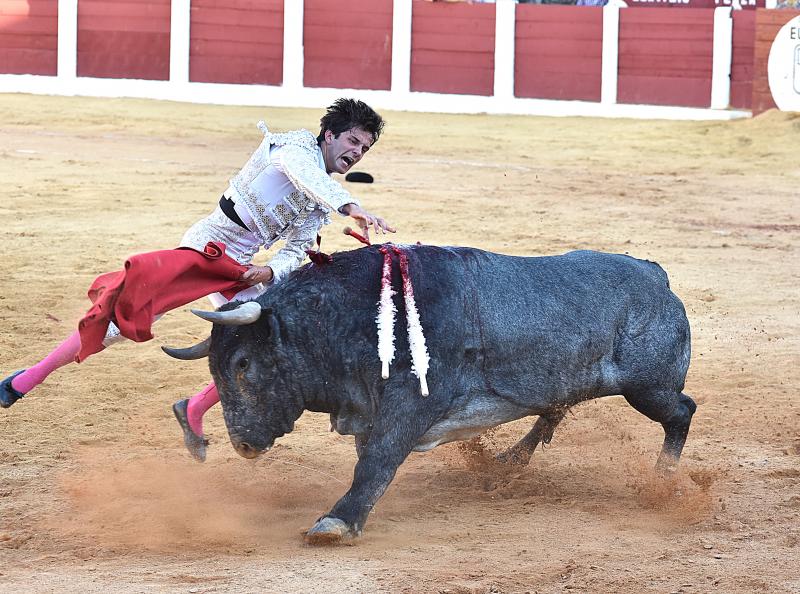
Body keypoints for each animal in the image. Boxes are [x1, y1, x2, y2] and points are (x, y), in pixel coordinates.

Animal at [169, 244, 692, 540]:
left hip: (648, 386)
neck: (345, 319)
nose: (242, 443)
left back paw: (663, 479)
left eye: (242, 364)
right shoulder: (369, 409)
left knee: (682, 411)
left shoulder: (408, 406)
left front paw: (336, 522)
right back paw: (508, 462)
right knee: (555, 408)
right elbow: (370, 461)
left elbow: (376, 462)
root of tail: (655, 273)